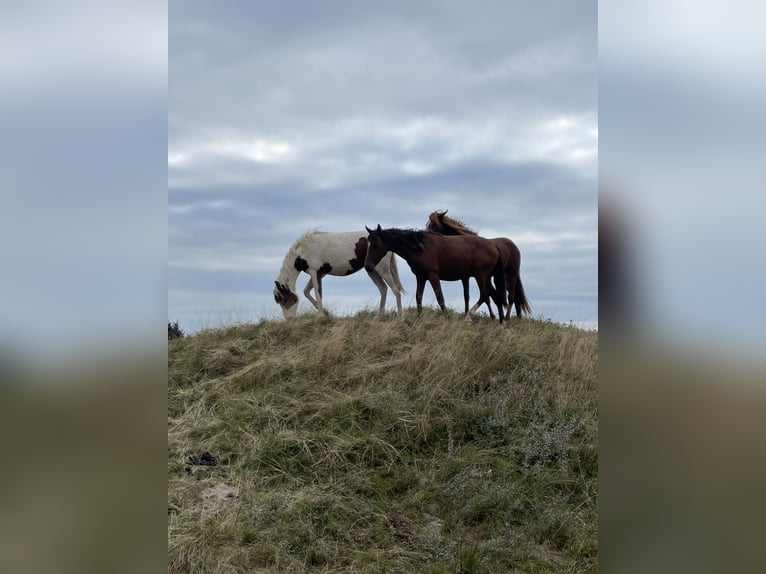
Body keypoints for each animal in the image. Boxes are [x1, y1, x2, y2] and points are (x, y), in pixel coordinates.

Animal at [273, 230, 404, 318]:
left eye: (285, 300)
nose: (289, 319)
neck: (303, 250)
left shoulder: (314, 272)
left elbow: (317, 292)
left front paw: (321, 315)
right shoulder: (320, 274)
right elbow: (307, 291)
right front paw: (325, 312)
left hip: (382, 269)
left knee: (395, 290)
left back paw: (400, 314)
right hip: (372, 271)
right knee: (383, 289)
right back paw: (379, 315)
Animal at [364, 225, 507, 322]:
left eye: (375, 244)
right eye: (368, 243)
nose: (367, 266)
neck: (420, 248)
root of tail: (494, 246)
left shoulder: (433, 276)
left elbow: (440, 298)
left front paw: (447, 318)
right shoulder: (421, 277)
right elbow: (419, 297)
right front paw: (419, 319)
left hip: (481, 275)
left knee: (484, 295)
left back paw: (468, 316)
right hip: (485, 277)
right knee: (495, 296)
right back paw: (501, 323)